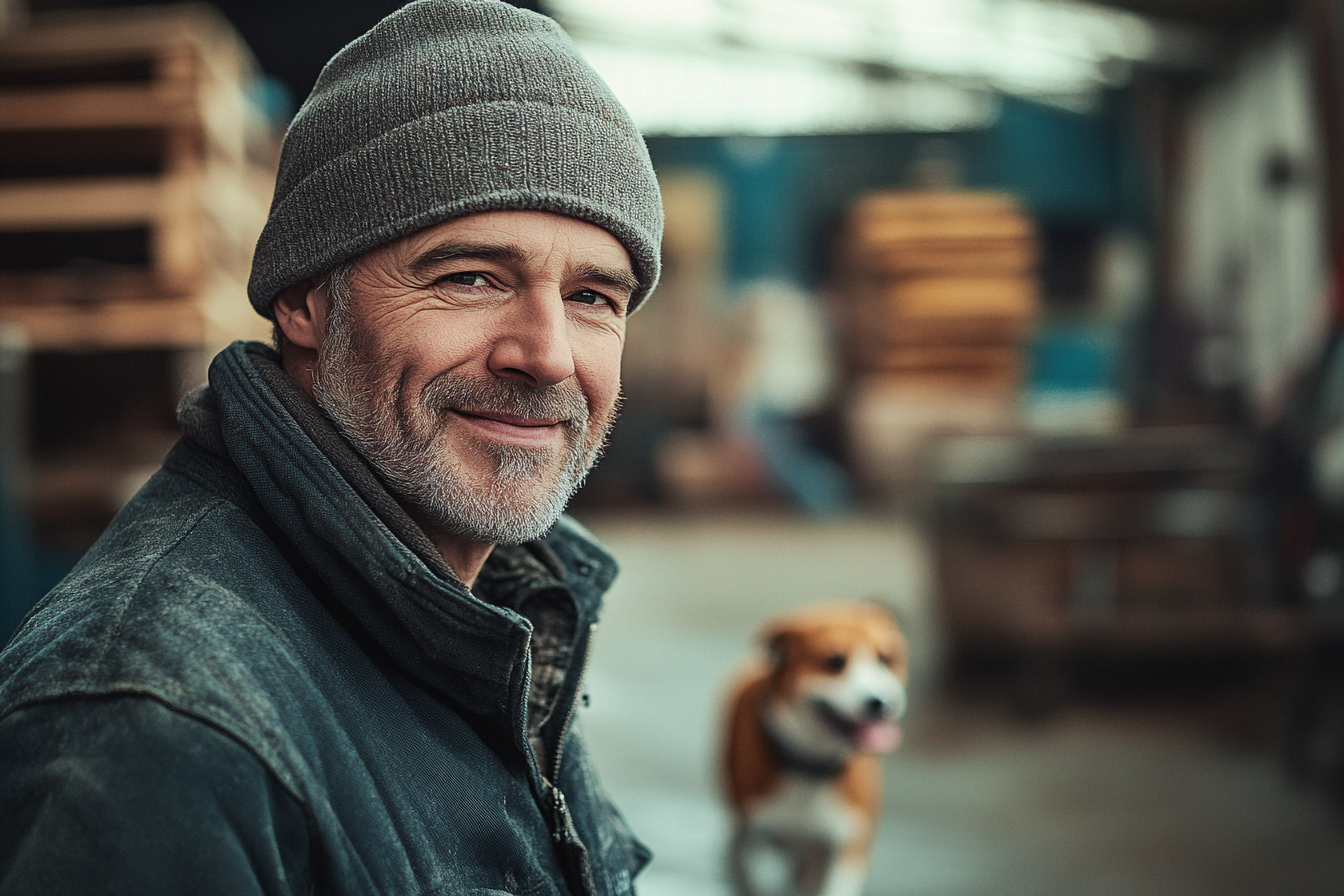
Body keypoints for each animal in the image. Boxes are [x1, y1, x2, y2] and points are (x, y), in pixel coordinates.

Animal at [720, 599, 908, 896]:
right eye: (834, 662)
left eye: (887, 660)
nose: (880, 703)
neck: (810, 767)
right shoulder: (741, 842)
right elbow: (746, 879)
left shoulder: (848, 847)